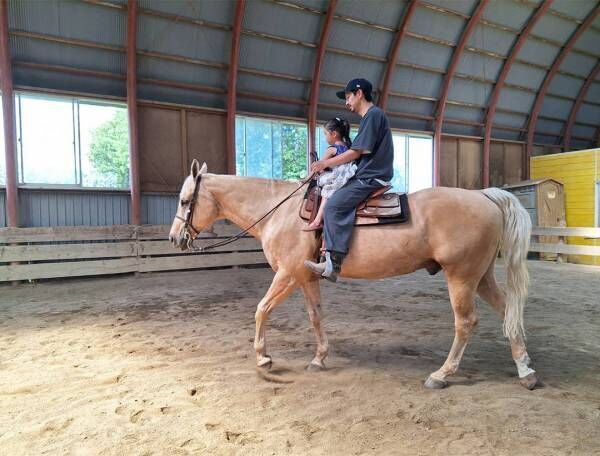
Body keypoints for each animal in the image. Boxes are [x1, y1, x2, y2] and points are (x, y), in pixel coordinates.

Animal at [169, 160, 540, 388]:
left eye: (186, 200)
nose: (174, 238)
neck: (280, 211)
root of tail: (484, 196)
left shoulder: (287, 274)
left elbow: (261, 309)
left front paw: (263, 358)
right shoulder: (306, 278)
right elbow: (316, 316)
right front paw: (319, 358)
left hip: (461, 278)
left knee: (466, 323)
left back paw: (442, 374)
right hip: (481, 276)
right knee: (508, 312)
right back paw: (525, 370)